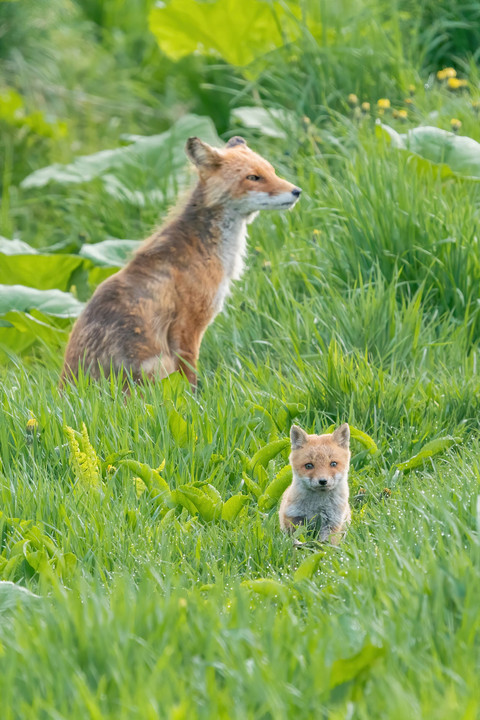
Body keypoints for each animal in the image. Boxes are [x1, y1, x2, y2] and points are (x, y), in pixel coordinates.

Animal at [60, 132, 300, 386]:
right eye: (253, 177)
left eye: (272, 171)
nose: (297, 191)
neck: (207, 250)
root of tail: (68, 389)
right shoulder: (188, 326)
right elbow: (189, 378)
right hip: (158, 363)